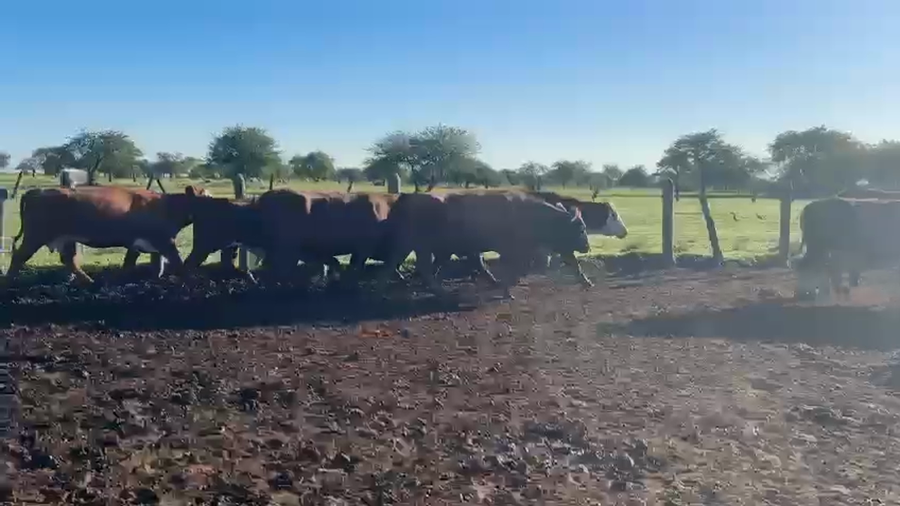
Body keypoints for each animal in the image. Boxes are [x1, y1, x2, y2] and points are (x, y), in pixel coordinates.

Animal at [6, 185, 211, 284]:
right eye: (207, 197)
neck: (167, 206)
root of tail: (37, 191)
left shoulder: (147, 244)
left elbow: (151, 265)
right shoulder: (165, 241)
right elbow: (178, 263)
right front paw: (193, 280)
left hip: (67, 238)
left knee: (69, 261)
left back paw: (89, 281)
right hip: (35, 235)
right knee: (18, 257)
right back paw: (8, 282)